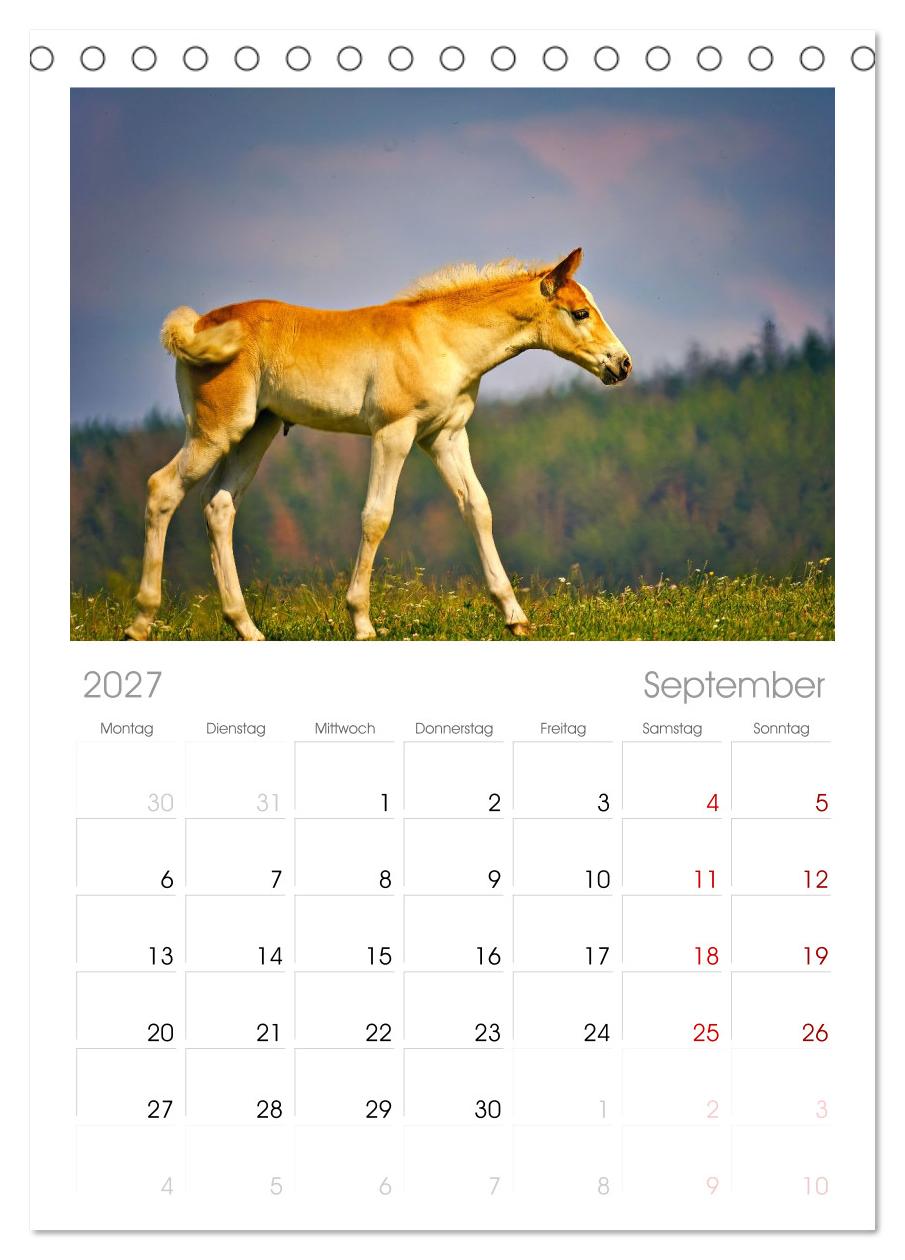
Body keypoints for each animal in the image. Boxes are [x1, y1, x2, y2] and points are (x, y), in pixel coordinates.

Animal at [124, 247, 631, 642]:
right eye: (581, 313)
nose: (622, 364)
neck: (441, 338)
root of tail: (198, 326)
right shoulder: (394, 431)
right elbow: (377, 516)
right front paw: (362, 621)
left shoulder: (445, 436)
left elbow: (478, 509)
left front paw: (515, 617)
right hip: (216, 430)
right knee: (162, 489)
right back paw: (141, 622)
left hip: (256, 431)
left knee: (219, 506)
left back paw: (246, 626)